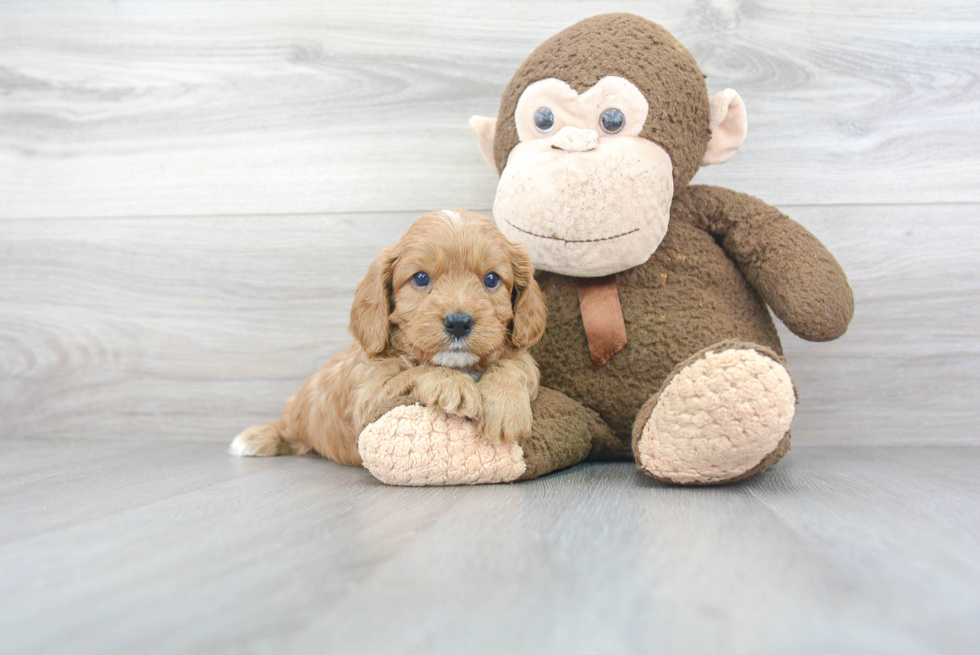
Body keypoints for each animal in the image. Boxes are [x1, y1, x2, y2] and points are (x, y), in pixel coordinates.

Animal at [233, 210, 548, 466]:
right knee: (280, 429)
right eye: (420, 278)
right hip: (295, 416)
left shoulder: (522, 357)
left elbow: (516, 364)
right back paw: (253, 439)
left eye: (491, 279)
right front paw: (452, 383)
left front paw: (505, 408)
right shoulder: (366, 399)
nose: (458, 323)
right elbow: (412, 372)